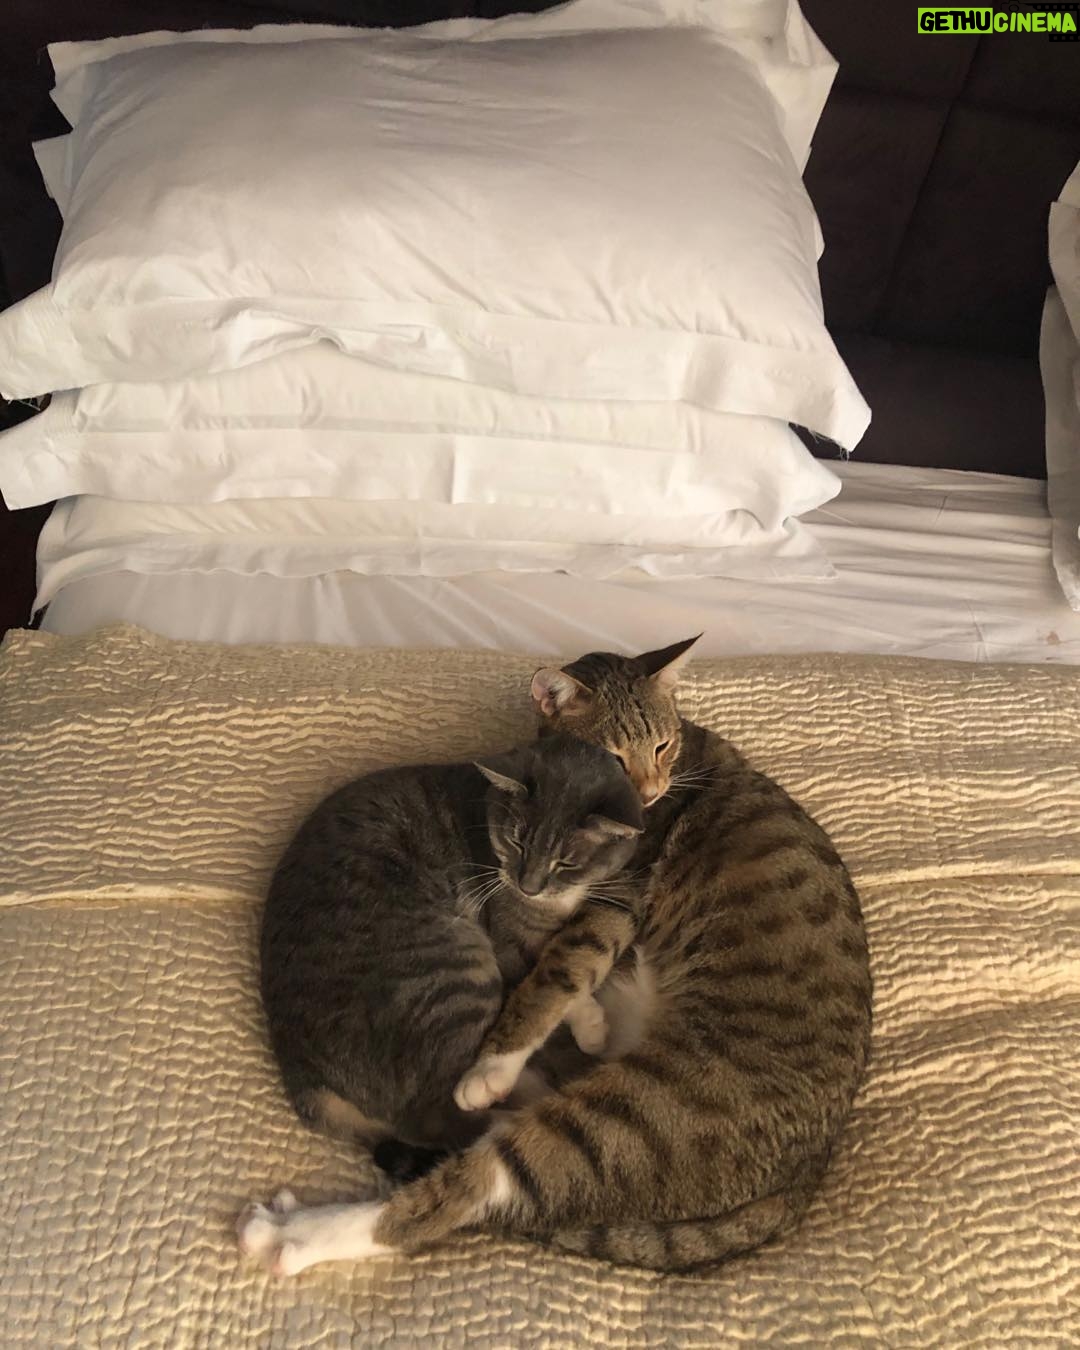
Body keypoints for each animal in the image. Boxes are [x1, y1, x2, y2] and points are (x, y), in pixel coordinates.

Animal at [257, 732, 643, 1176]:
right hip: (453, 974)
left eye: (565, 861)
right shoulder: (512, 942)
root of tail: (307, 1082)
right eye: (516, 841)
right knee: (440, 1119)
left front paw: (590, 1021)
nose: (527, 886)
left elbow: (566, 968)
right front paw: (587, 1023)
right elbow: (543, 987)